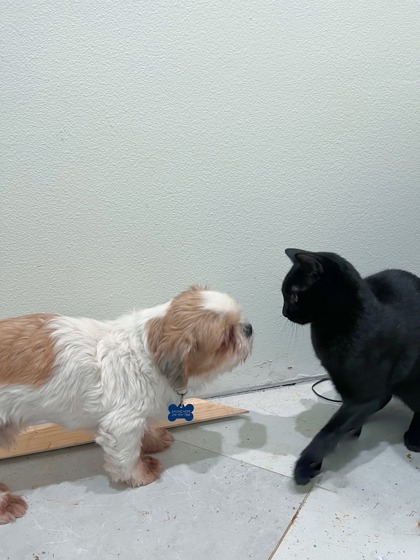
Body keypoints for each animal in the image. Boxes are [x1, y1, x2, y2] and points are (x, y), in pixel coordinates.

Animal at [0, 285, 253, 524]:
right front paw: (139, 473)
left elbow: (144, 431)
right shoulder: (122, 424)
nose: (249, 328)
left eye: (240, 318)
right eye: (226, 339)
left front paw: (153, 439)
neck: (145, 354)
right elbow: (127, 455)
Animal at [282, 248, 420, 485]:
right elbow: (339, 424)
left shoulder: (364, 395)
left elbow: (329, 431)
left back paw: (414, 437)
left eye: (293, 296)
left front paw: (305, 465)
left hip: (411, 383)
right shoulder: (345, 386)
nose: (284, 311)